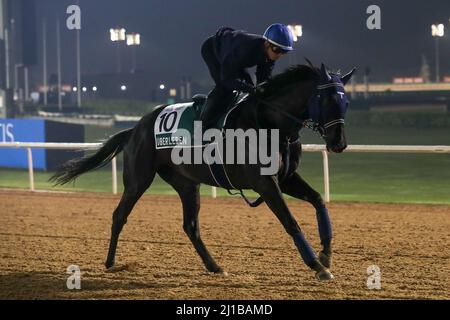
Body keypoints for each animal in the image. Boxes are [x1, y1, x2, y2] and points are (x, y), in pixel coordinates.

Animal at [51, 63, 356, 282]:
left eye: (346, 103)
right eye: (325, 99)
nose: (339, 143)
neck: (270, 123)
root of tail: (135, 127)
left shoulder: (287, 178)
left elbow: (318, 200)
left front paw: (326, 255)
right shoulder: (265, 183)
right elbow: (291, 222)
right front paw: (317, 266)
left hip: (188, 184)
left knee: (191, 226)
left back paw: (215, 266)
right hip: (139, 179)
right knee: (119, 215)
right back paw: (110, 262)